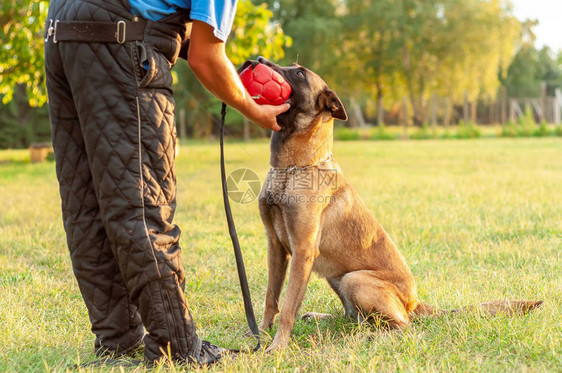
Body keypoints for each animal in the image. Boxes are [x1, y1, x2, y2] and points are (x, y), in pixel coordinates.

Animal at [253, 56, 540, 350]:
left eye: (299, 73)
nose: (259, 60)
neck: (292, 168)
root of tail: (414, 302)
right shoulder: (276, 247)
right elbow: (271, 298)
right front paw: (259, 334)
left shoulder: (303, 251)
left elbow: (288, 306)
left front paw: (277, 346)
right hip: (338, 277)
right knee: (353, 317)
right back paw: (322, 318)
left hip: (354, 279)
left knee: (402, 326)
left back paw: (369, 336)